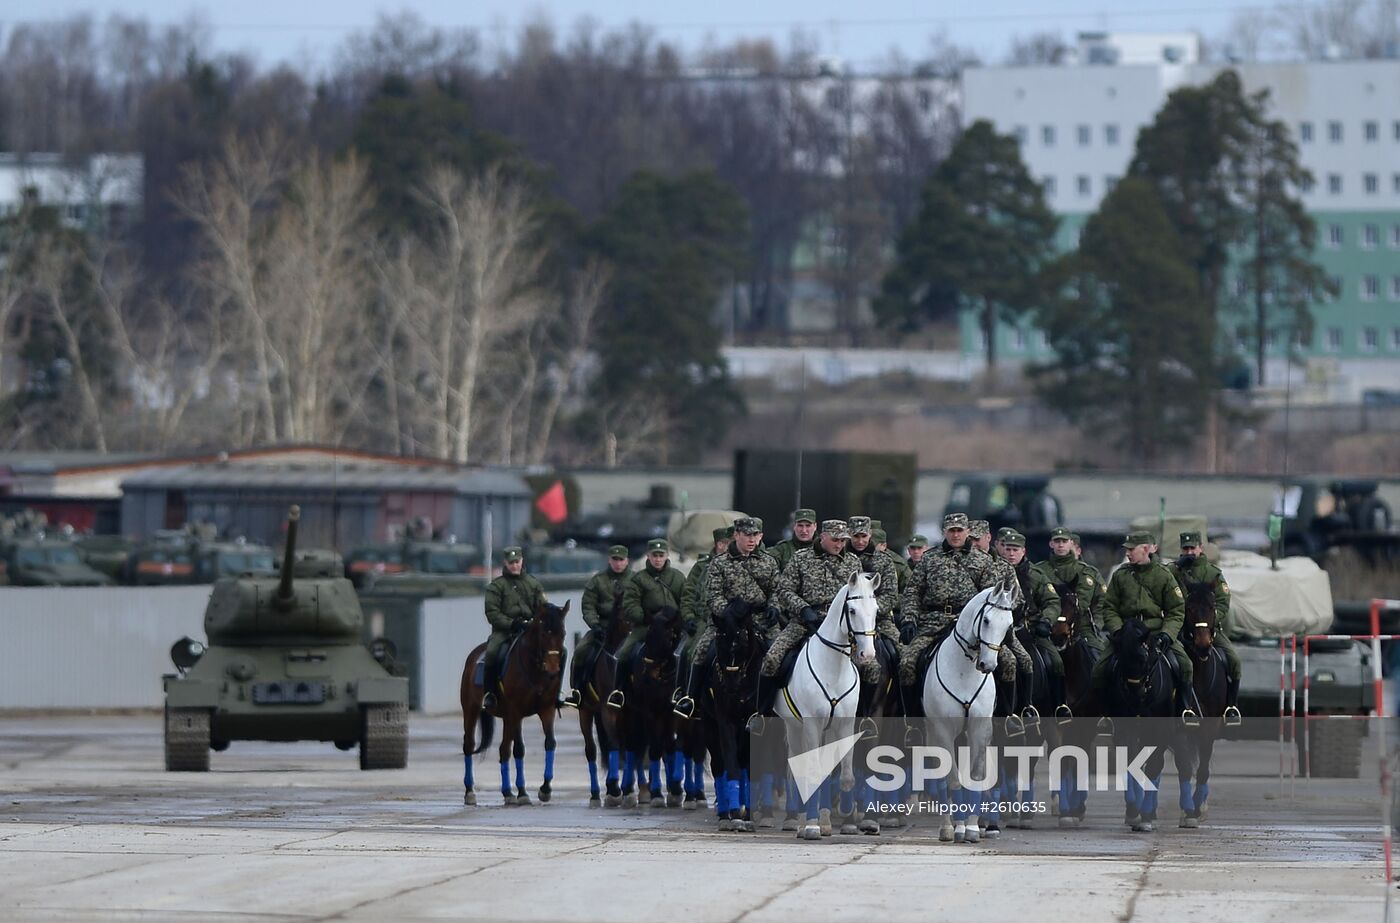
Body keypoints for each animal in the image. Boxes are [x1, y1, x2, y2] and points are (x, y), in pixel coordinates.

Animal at [462, 602, 565, 806]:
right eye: (544, 634)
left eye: (563, 634)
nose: (552, 669)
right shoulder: (516, 712)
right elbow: (519, 749)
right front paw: (523, 792)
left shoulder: (546, 710)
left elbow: (550, 743)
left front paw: (545, 789)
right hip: (471, 710)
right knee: (469, 745)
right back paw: (470, 791)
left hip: (506, 719)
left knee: (503, 750)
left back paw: (507, 792)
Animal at [778, 574, 873, 840]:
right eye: (852, 610)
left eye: (876, 609)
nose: (867, 654)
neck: (833, 667)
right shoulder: (811, 723)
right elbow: (812, 772)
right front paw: (811, 826)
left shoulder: (845, 725)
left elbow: (846, 775)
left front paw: (843, 819)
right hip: (794, 726)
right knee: (797, 769)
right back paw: (800, 822)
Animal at [924, 582, 1013, 845]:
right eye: (986, 620)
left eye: (1009, 625)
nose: (988, 665)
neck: (963, 670)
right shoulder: (943, 731)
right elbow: (952, 779)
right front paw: (957, 828)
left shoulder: (979, 729)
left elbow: (976, 775)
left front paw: (973, 828)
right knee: (940, 776)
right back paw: (948, 826)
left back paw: (985, 823)